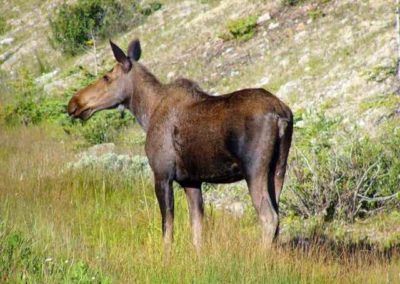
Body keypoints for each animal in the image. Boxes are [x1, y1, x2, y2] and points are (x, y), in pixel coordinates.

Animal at [68, 38, 294, 252]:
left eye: (106, 77)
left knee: (268, 217)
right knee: (277, 216)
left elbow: (167, 228)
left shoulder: (162, 175)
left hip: (254, 169)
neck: (146, 113)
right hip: (278, 168)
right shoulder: (191, 181)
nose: (73, 103)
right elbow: (197, 228)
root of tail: (281, 115)